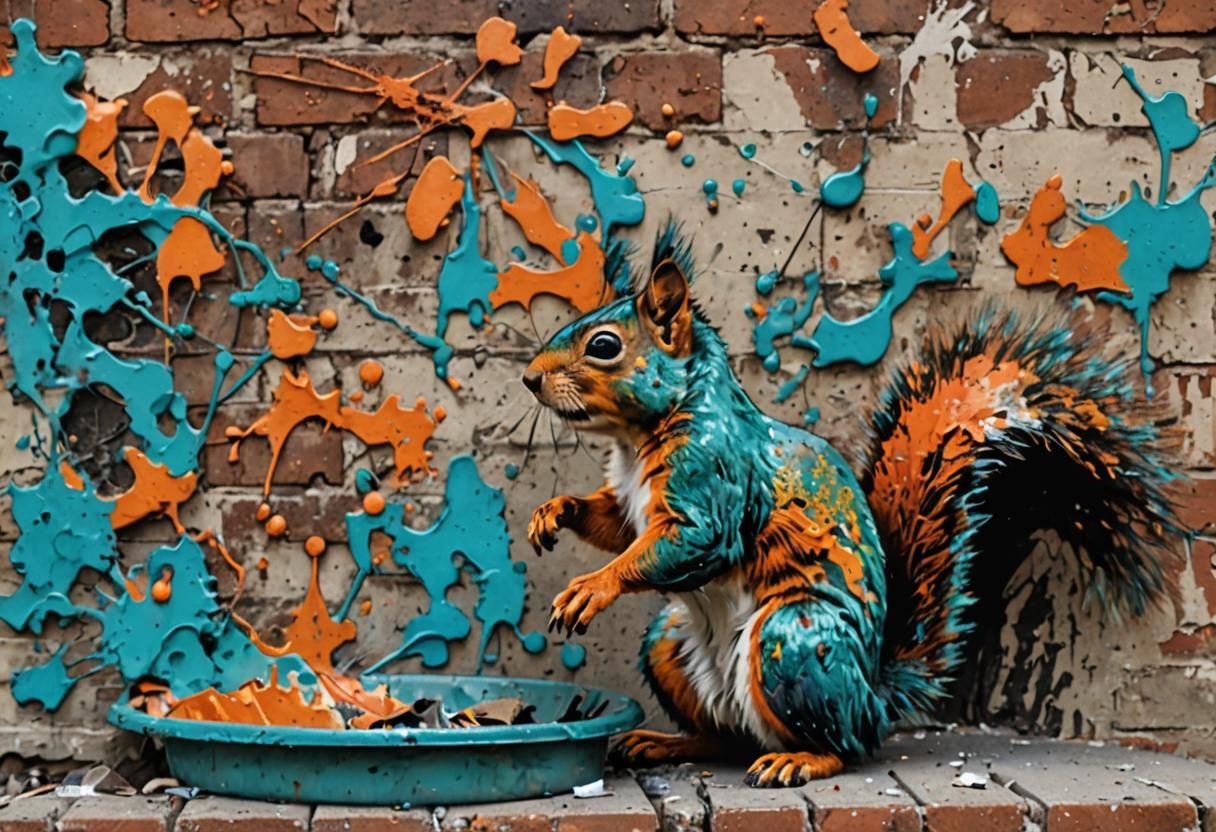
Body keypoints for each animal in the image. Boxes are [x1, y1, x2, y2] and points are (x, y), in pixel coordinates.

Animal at [521, 223, 1181, 788]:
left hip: (791, 640)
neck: (640, 437)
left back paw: (800, 760)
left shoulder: (715, 473)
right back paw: (665, 743)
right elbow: (613, 525)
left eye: (604, 345)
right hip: (670, 644)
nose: (529, 378)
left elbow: (694, 542)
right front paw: (554, 512)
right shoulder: (630, 499)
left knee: (844, 746)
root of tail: (874, 699)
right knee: (729, 739)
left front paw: (592, 586)